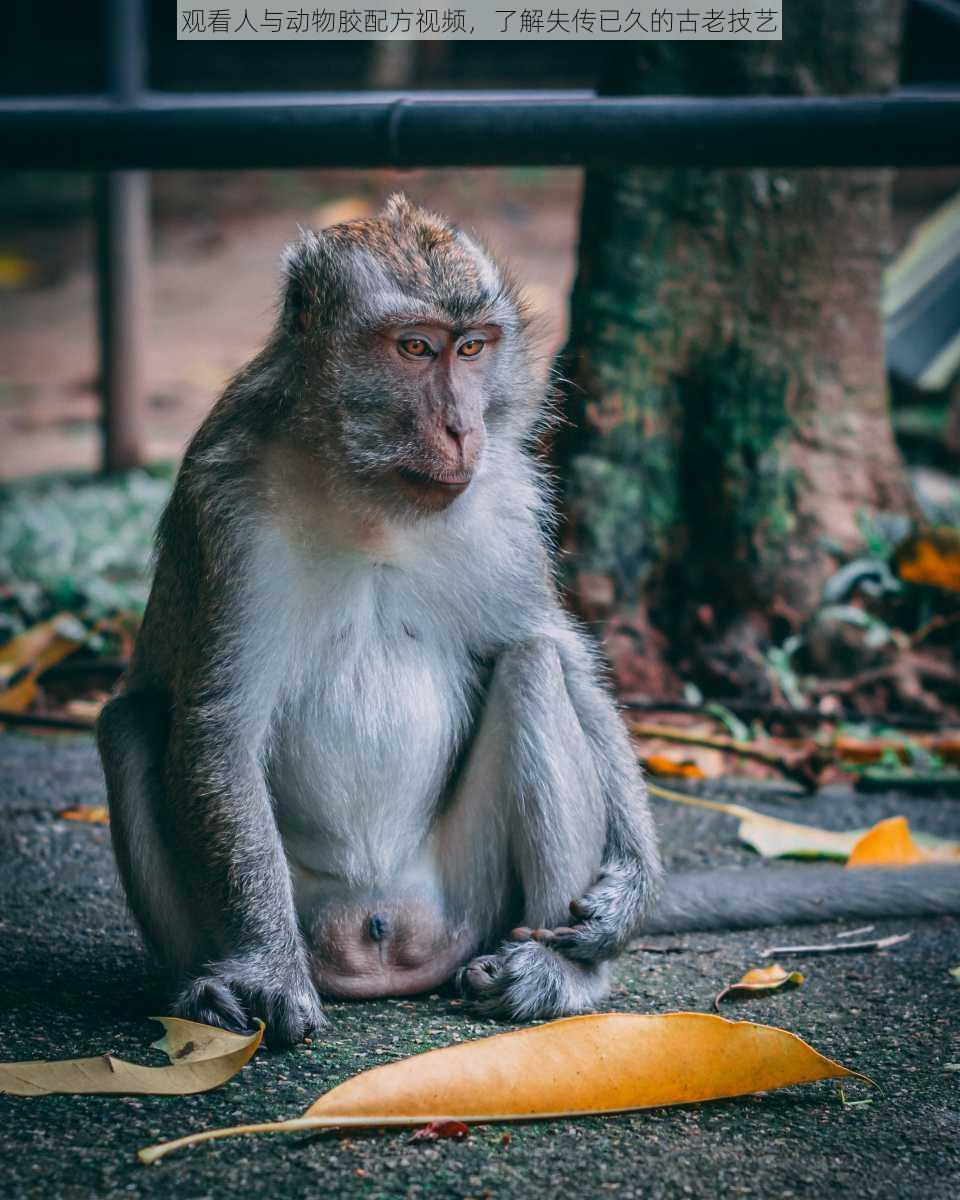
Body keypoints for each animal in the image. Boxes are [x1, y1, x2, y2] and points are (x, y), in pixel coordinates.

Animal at [97, 196, 960, 1051]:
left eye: (473, 348)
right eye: (416, 348)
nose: (460, 428)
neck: (368, 495)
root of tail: (383, 945)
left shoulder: (509, 497)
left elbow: (556, 653)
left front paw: (635, 887)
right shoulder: (225, 503)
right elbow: (220, 725)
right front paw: (269, 970)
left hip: (472, 898)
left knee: (533, 670)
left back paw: (559, 976)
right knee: (130, 723)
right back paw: (204, 987)